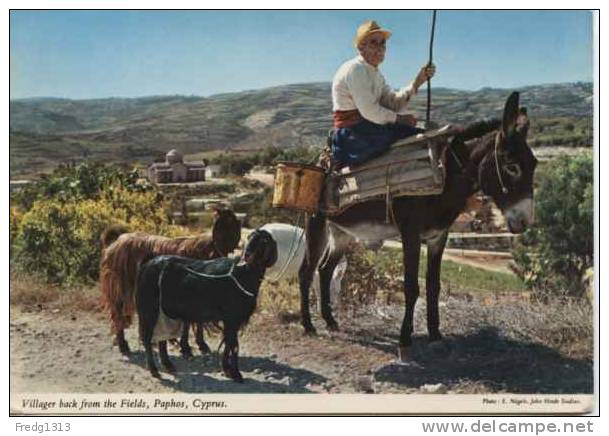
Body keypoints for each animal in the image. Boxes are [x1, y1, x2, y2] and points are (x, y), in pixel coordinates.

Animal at [100, 208, 240, 354]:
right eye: (222, 225)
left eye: (234, 225)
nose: (228, 245)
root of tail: (114, 242)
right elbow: (189, 322)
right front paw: (187, 346)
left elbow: (196, 320)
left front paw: (199, 344)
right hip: (119, 288)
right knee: (117, 314)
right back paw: (124, 345)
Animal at [137, 228, 276, 382]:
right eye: (250, 238)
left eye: (264, 241)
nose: (247, 255)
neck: (243, 273)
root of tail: (147, 265)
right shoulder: (232, 318)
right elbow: (234, 345)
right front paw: (236, 374)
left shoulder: (230, 321)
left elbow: (228, 344)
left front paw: (227, 369)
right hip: (149, 309)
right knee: (147, 338)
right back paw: (154, 370)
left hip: (164, 312)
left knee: (162, 339)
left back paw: (168, 365)